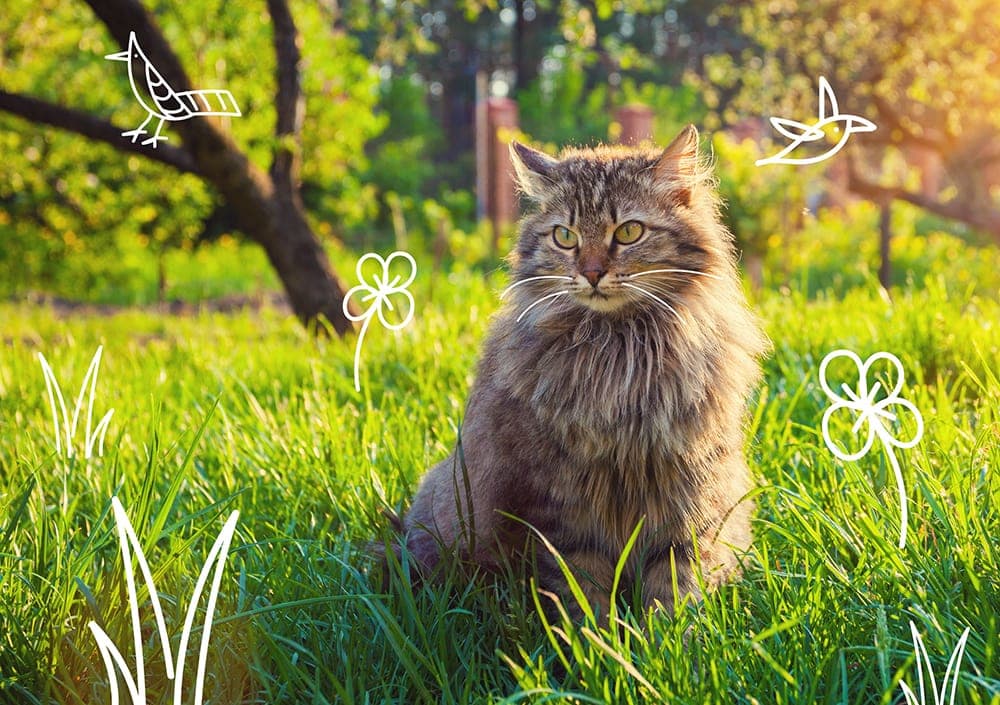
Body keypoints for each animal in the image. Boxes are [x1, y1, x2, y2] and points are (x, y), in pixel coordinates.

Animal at [398, 126, 764, 616]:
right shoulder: (563, 504)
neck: (620, 351)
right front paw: (595, 636)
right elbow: (582, 590)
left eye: (628, 231)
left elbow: (676, 584)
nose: (591, 273)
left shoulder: (689, 489)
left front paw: (666, 635)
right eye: (565, 236)